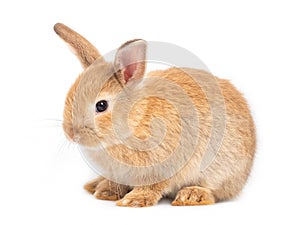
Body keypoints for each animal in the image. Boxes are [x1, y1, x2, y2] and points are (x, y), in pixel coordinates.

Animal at [54, 23, 255, 207]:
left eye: (101, 105)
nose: (71, 134)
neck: (136, 122)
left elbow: (153, 186)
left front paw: (133, 200)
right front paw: (106, 192)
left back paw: (191, 195)